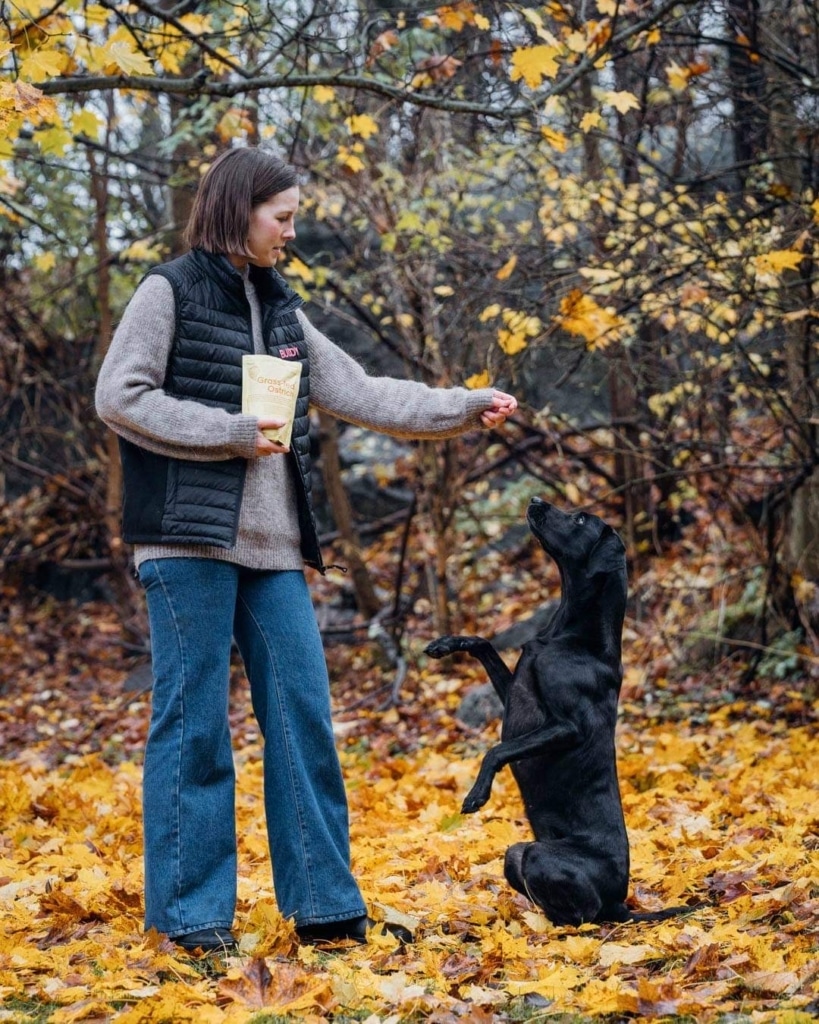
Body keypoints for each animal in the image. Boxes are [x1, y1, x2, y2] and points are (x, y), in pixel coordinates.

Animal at [425, 495, 675, 929]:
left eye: (580, 520)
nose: (536, 500)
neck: (570, 633)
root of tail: (620, 902)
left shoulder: (567, 726)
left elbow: (497, 749)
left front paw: (476, 794)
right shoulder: (515, 694)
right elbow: (484, 643)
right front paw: (446, 643)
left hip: (539, 854)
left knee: (584, 915)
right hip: (514, 855)